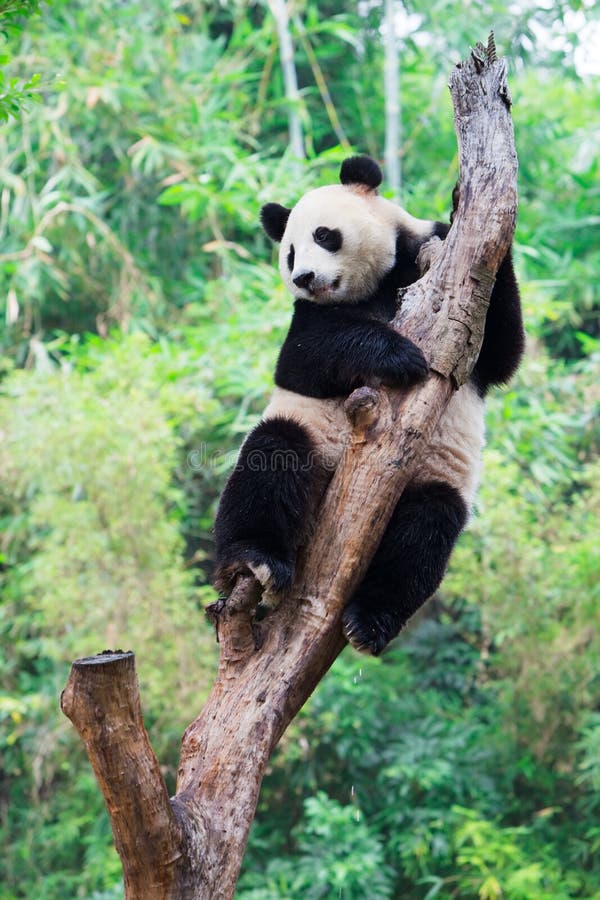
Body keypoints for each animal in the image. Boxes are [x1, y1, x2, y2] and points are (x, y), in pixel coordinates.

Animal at [213, 156, 524, 652]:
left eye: (324, 235)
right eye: (290, 254)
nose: (304, 278)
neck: (377, 286)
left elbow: (503, 351)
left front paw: (468, 213)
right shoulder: (308, 319)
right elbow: (301, 358)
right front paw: (401, 356)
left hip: (430, 478)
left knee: (426, 530)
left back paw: (370, 622)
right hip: (310, 438)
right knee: (273, 456)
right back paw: (252, 559)